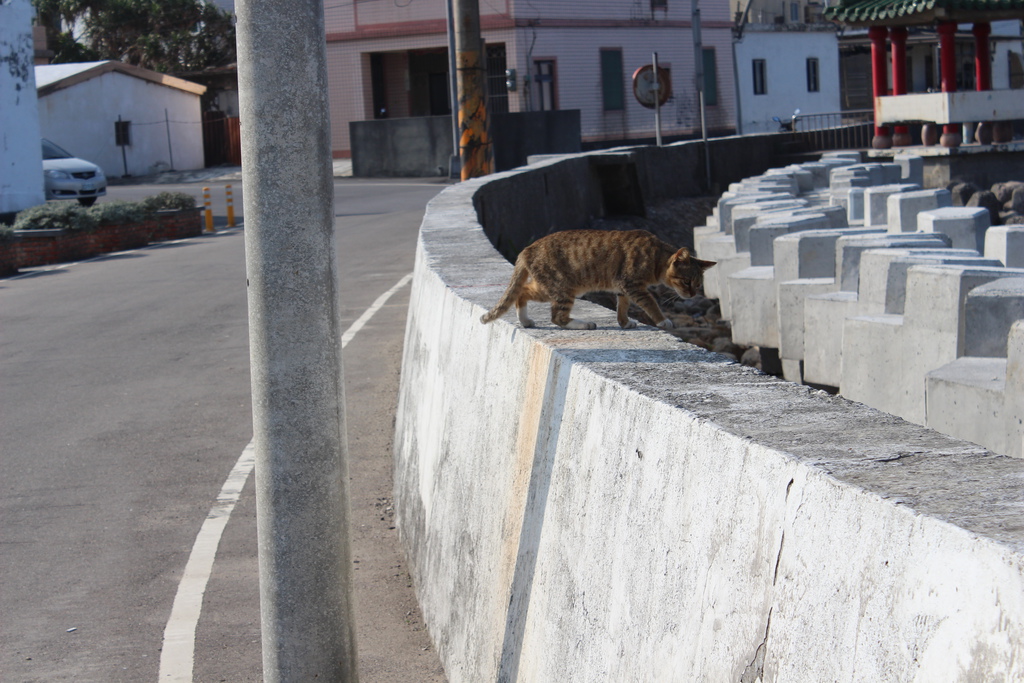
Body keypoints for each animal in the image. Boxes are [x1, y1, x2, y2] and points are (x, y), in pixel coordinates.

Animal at [477, 229, 712, 331]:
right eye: (686, 282)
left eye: (698, 285)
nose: (692, 294)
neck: (655, 256)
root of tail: (527, 249)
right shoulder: (633, 284)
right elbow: (651, 303)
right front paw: (663, 320)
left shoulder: (623, 288)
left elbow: (622, 306)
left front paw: (625, 322)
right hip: (563, 287)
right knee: (557, 317)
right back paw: (583, 324)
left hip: (547, 287)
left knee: (522, 292)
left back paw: (525, 320)